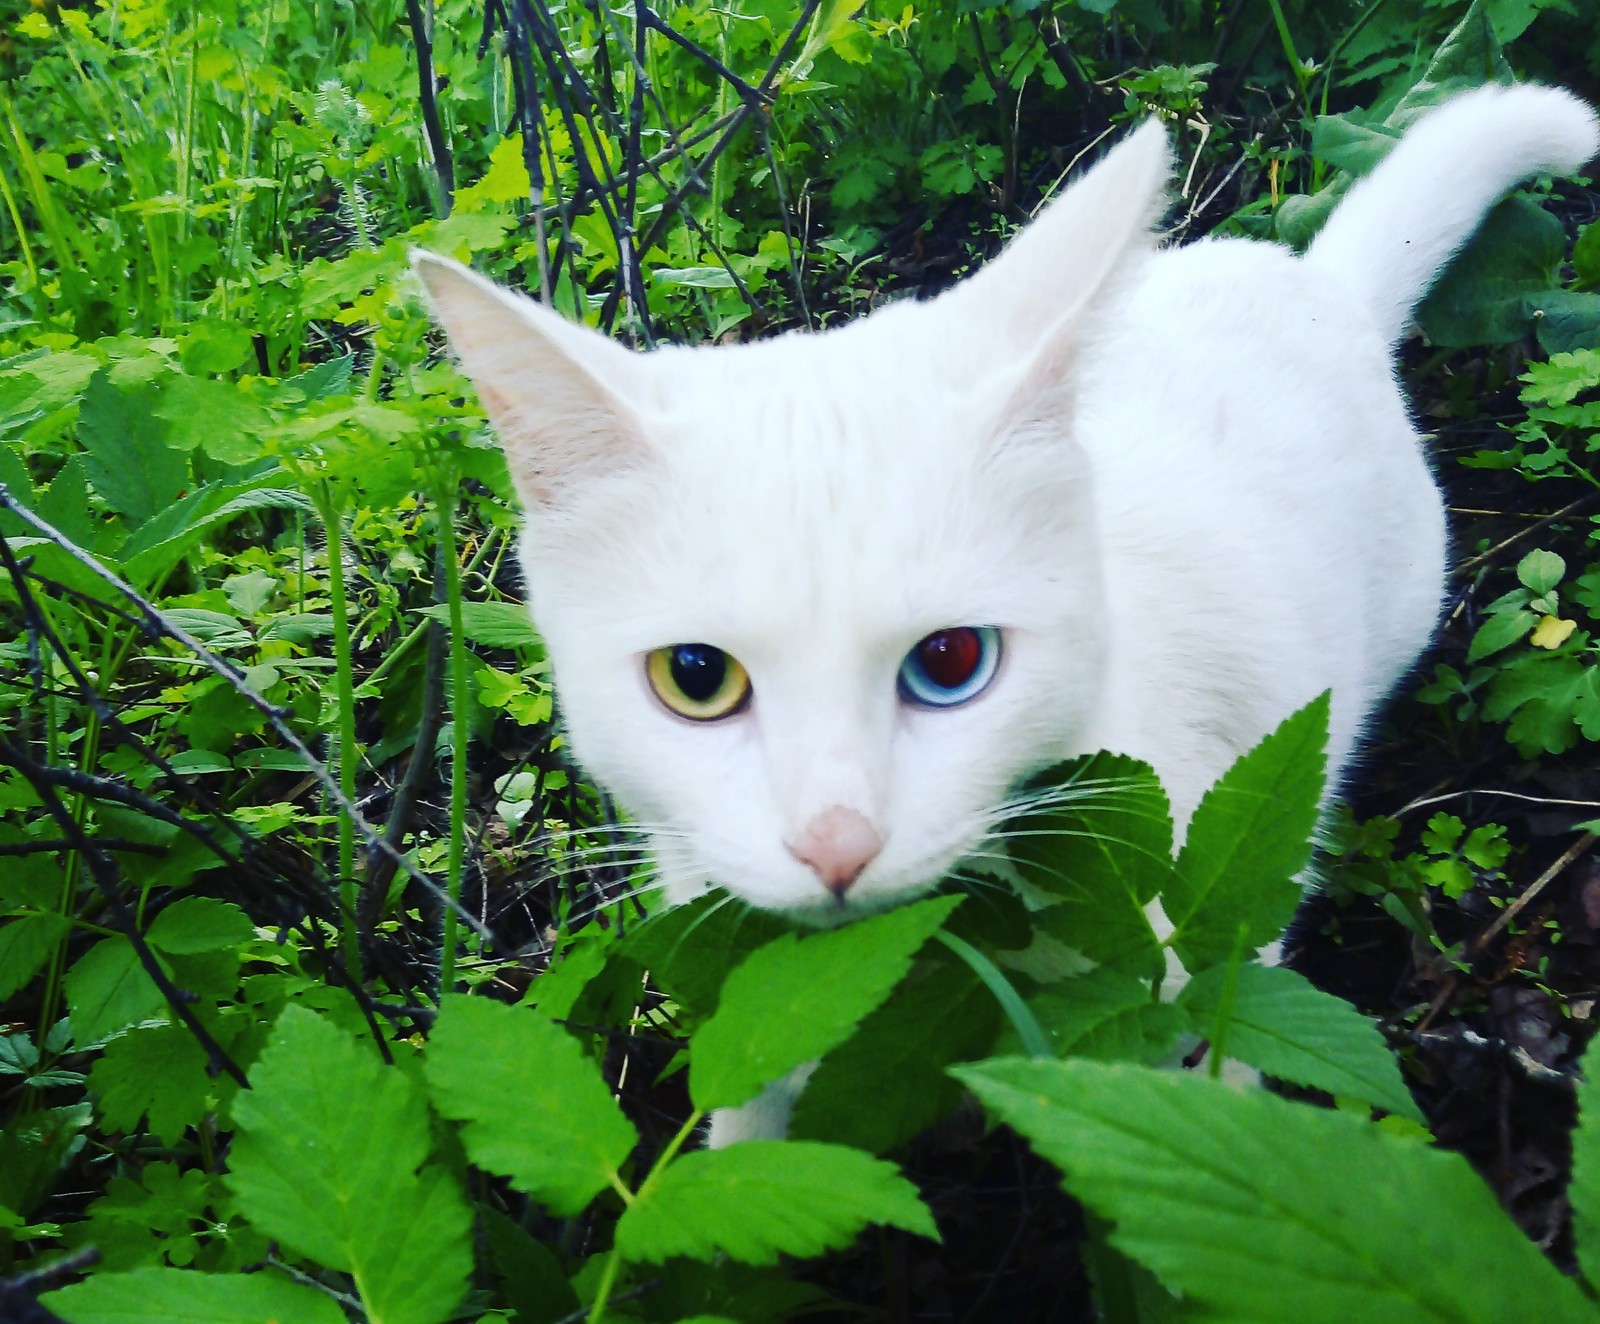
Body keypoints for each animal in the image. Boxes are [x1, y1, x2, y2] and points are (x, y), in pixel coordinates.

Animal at [416, 85, 1600, 1138]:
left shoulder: (1214, 935)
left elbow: (1218, 1087)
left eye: (950, 661)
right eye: (695, 678)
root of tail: (1313, 280)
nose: (836, 845)